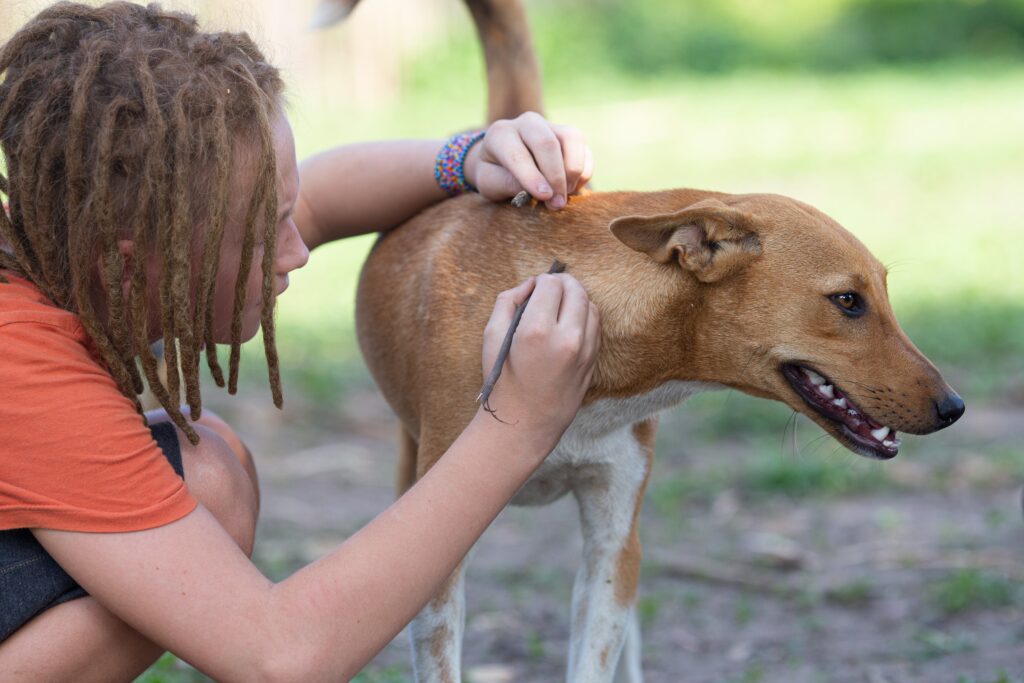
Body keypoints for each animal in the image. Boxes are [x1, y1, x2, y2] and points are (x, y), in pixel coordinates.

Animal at [317, 0, 958, 679]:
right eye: (847, 301)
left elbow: (597, 652)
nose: (955, 408)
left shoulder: (614, 539)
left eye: (881, 292)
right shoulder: (438, 569)